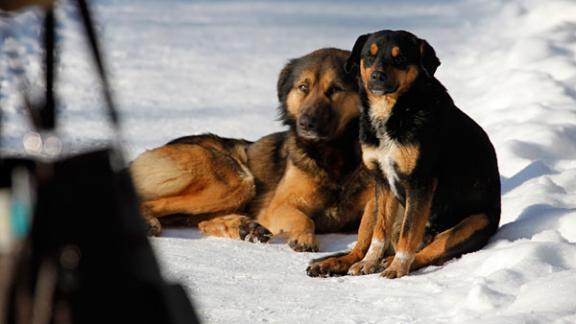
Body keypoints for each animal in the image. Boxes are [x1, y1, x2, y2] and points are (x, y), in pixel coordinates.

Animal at [129, 46, 376, 252]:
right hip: (235, 182)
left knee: (202, 221)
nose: (306, 123)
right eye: (303, 87)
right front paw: (304, 237)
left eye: (335, 89)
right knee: (153, 203)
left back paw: (245, 227)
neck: (333, 153)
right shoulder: (278, 206)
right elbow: (304, 218)